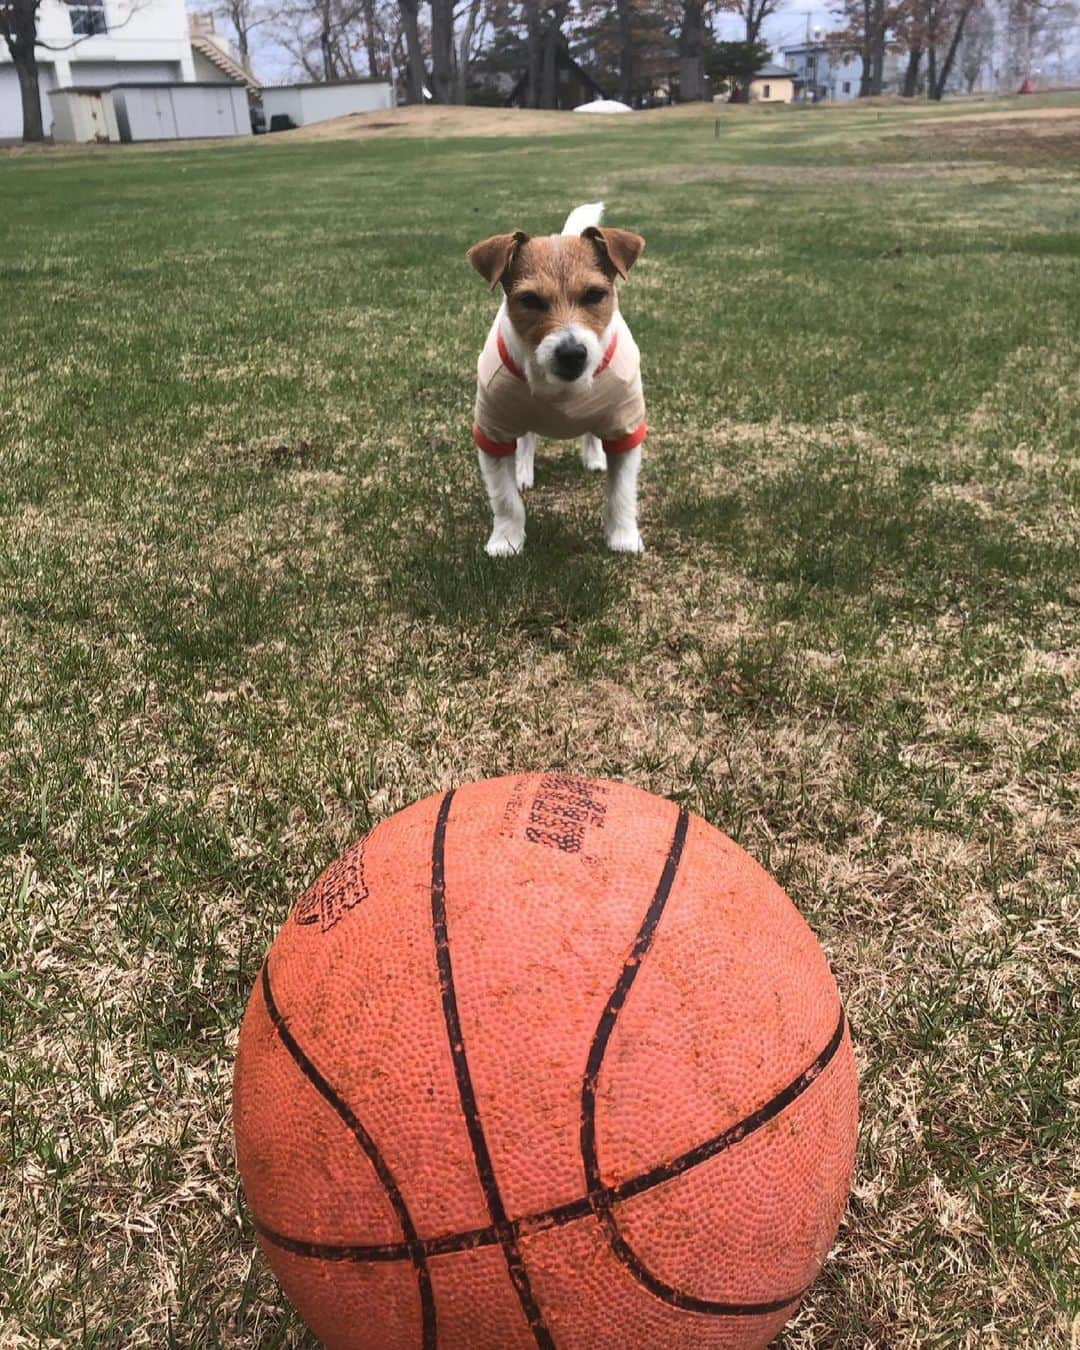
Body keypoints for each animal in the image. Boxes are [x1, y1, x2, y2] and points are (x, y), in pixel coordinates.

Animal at [467, 201, 650, 558]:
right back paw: (523, 470)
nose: (572, 353)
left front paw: (622, 537)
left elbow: (621, 493)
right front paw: (506, 541)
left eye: (595, 294)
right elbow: (505, 499)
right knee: (527, 439)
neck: (562, 389)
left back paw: (594, 457)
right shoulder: (493, 431)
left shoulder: (625, 426)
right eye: (529, 300)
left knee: (591, 432)